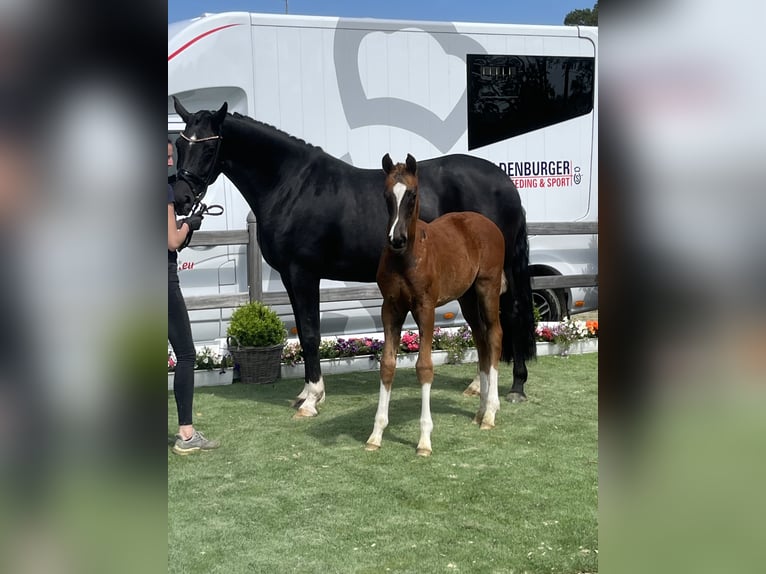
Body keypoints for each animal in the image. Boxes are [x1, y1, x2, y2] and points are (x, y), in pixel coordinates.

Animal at [171, 97, 536, 419]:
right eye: (180, 145)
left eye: (208, 148)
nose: (182, 198)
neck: (291, 185)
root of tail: (506, 183)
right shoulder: (291, 277)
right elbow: (305, 333)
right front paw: (307, 393)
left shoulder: (303, 273)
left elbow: (311, 333)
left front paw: (312, 400)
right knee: (481, 326)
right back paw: (478, 386)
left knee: (510, 316)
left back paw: (516, 387)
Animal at [366, 154, 507, 456]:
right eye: (386, 195)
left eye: (412, 194)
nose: (396, 239)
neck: (407, 257)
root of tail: (488, 224)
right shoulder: (390, 309)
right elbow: (387, 365)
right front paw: (376, 435)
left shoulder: (425, 308)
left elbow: (424, 367)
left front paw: (424, 441)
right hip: (467, 297)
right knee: (481, 340)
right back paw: (480, 410)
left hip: (487, 288)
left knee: (494, 335)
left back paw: (490, 412)